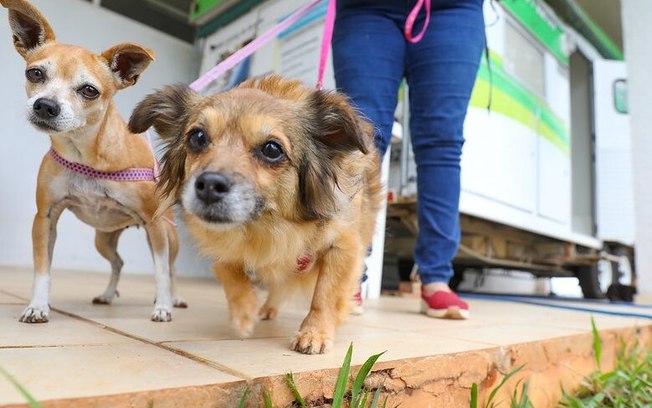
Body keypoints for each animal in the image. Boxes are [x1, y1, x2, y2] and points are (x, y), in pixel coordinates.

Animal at [129, 76, 382, 354]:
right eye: (197, 137)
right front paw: (243, 313)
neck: (266, 225)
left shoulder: (344, 247)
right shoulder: (221, 242)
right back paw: (265, 309)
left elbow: (324, 294)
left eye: (272, 149)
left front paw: (314, 333)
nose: (209, 185)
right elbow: (230, 272)